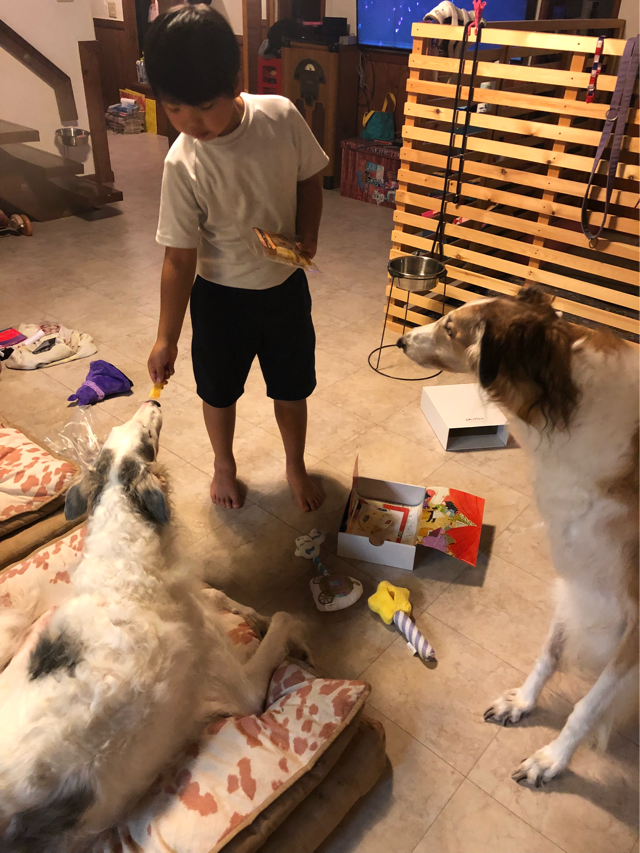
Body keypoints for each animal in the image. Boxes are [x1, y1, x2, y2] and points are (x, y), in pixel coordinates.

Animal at [0, 401, 306, 852]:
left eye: (117, 431)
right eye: (145, 438)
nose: (154, 402)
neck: (125, 559)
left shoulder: (195, 601)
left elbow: (217, 596)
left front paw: (252, 614)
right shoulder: (240, 689)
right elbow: (283, 620)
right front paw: (292, 633)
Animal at [398, 285, 640, 786]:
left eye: (451, 327)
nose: (401, 340)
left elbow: (588, 705)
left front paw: (552, 758)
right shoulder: (577, 567)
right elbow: (549, 652)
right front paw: (522, 703)